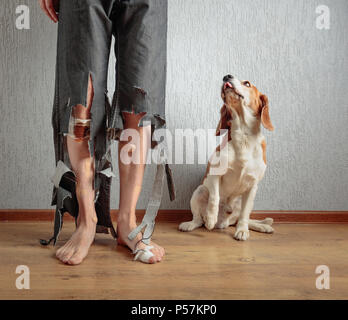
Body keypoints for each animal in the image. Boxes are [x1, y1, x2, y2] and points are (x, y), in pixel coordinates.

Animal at [179, 75, 274, 240]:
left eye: (247, 83)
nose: (226, 76)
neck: (243, 136)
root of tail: (224, 223)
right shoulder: (214, 174)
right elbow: (214, 198)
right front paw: (211, 218)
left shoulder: (252, 186)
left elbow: (244, 215)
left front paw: (242, 231)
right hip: (199, 191)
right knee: (198, 219)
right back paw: (193, 224)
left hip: (242, 201)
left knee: (243, 219)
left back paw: (262, 226)